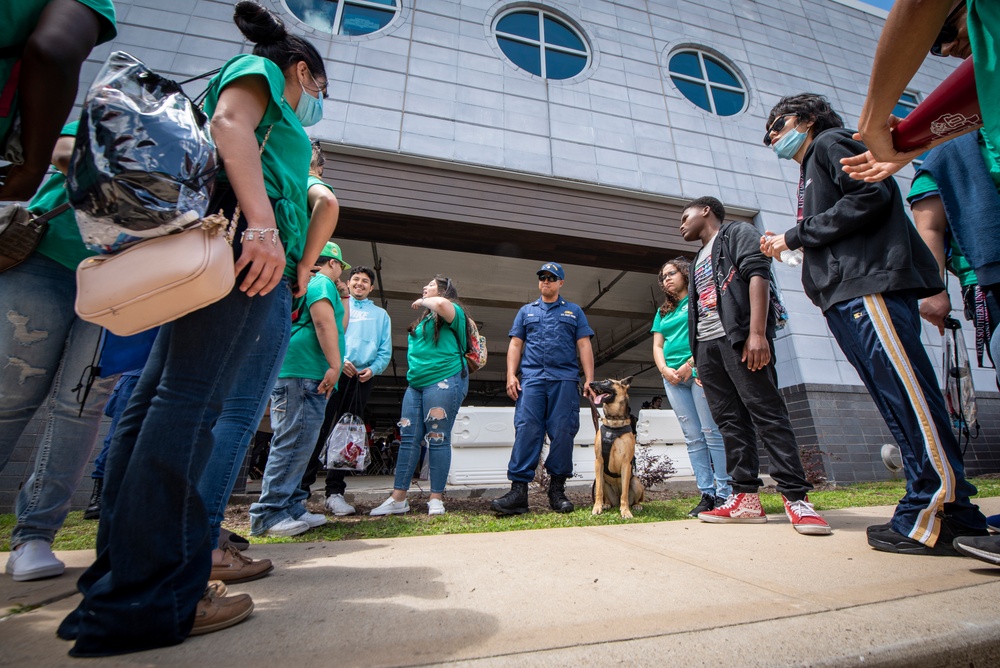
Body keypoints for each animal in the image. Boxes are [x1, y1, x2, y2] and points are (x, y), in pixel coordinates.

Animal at [588, 378, 644, 520]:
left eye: (607, 381)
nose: (591, 384)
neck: (614, 423)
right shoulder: (599, 461)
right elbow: (598, 492)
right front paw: (597, 507)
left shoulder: (626, 464)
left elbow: (624, 493)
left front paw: (625, 511)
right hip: (601, 480)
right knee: (604, 493)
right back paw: (606, 504)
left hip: (635, 481)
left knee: (634, 498)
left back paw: (636, 505)